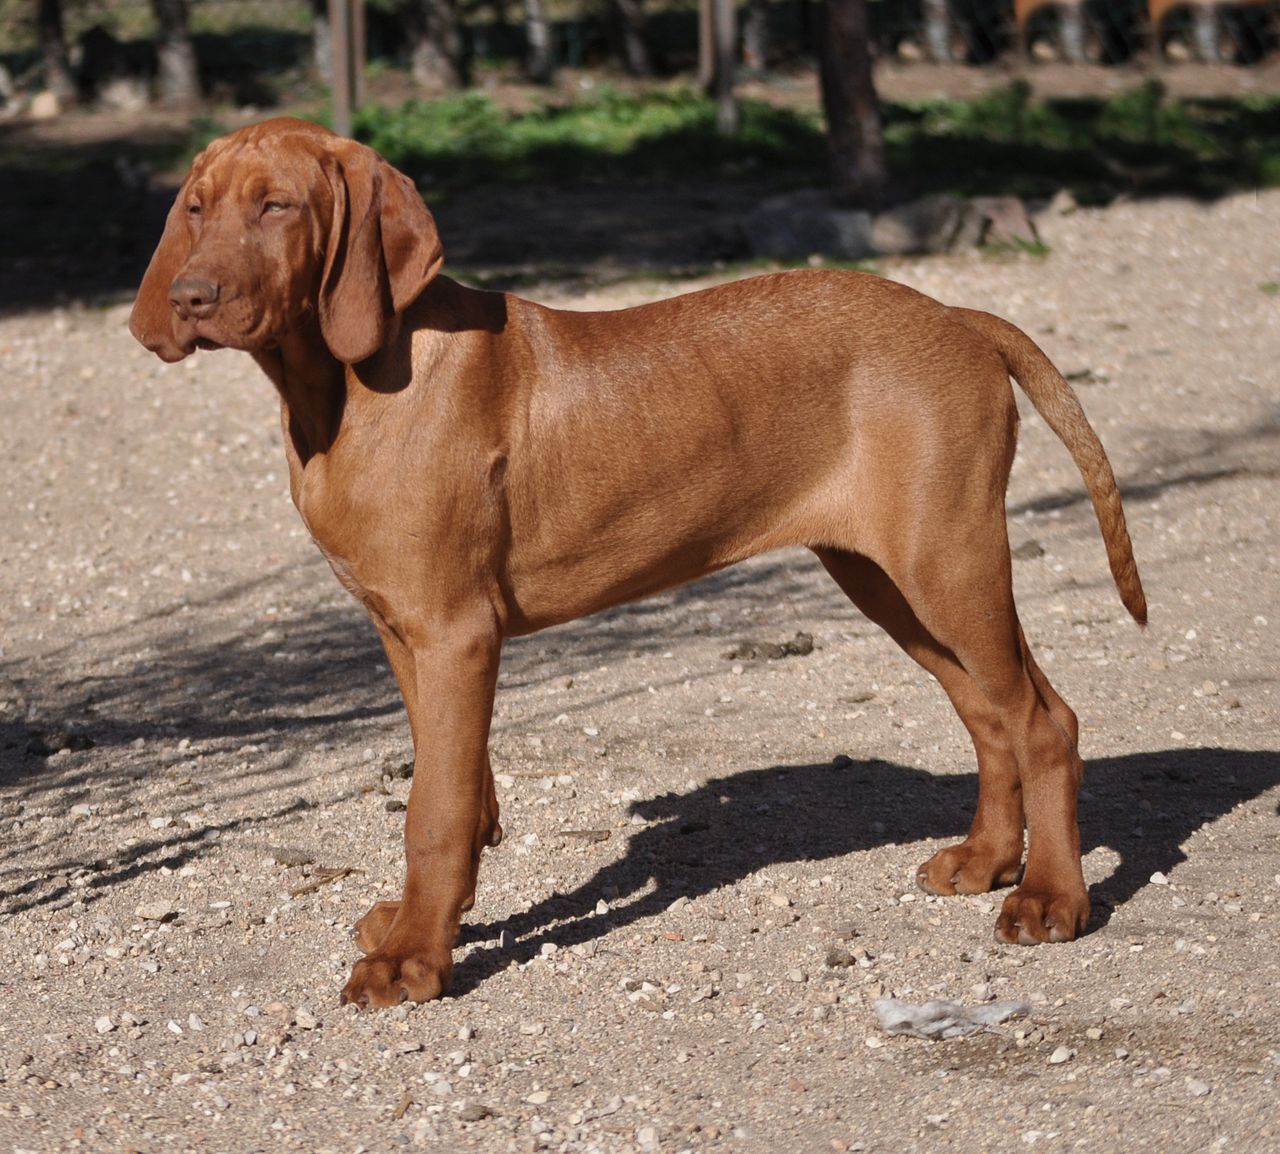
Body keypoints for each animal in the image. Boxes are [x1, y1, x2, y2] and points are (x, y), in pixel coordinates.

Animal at [132, 113, 1152, 1008]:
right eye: (196, 209)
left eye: (278, 207)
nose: (190, 298)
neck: (344, 390)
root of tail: (962, 316)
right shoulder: (403, 631)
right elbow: (454, 784)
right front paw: (437, 922)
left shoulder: (456, 633)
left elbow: (435, 809)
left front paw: (415, 962)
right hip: (889, 577)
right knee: (991, 713)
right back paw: (987, 861)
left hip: (947, 560)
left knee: (1044, 721)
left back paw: (1052, 899)